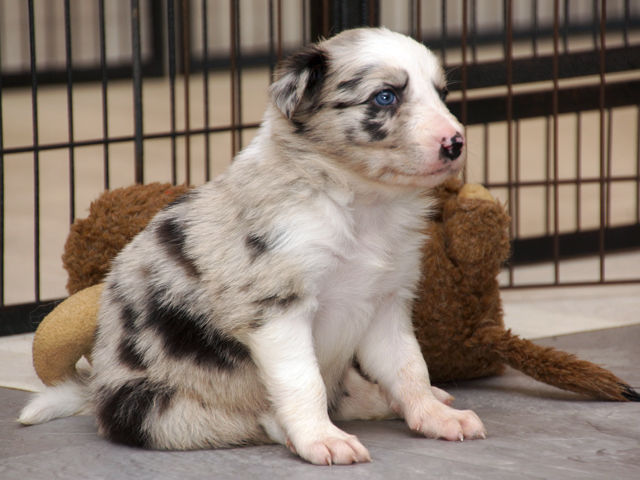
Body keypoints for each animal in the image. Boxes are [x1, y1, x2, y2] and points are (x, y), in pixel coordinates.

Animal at [19, 27, 486, 465]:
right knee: (250, 418)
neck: (360, 204)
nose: (456, 143)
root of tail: (96, 393)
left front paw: (434, 416)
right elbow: (305, 382)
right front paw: (321, 439)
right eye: (385, 97)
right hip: (154, 408)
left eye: (442, 93)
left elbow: (409, 367)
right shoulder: (278, 308)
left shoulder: (386, 302)